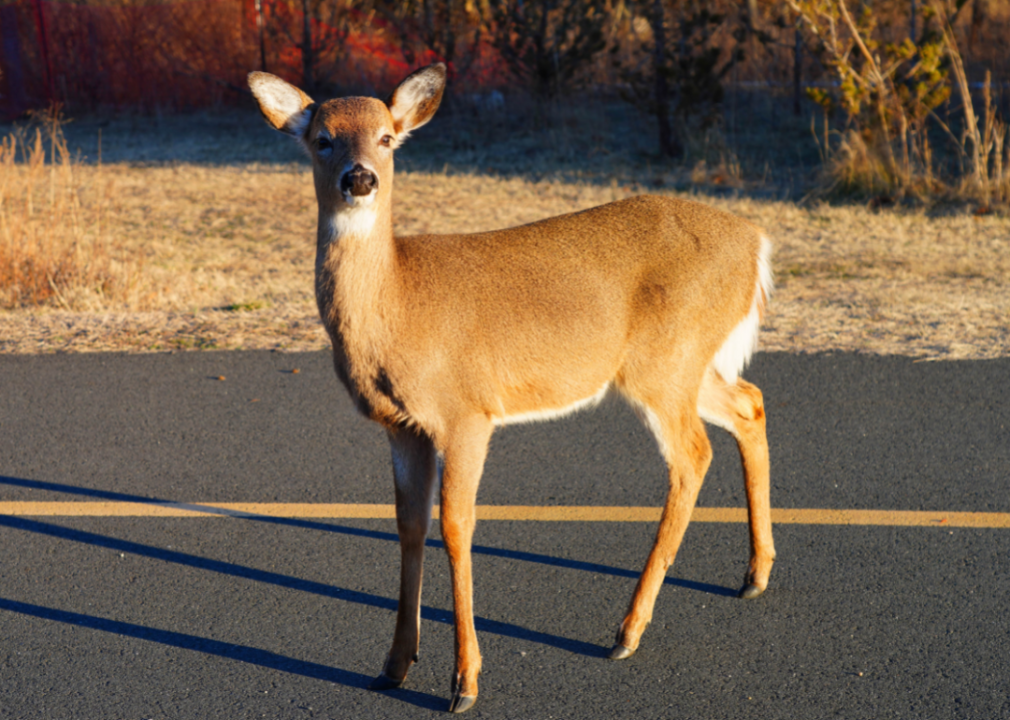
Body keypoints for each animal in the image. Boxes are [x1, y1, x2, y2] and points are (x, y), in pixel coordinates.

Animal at [248, 63, 775, 714]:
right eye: (322, 139)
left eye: (387, 138)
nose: (360, 178)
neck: (397, 305)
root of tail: (757, 244)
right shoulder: (402, 426)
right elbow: (408, 525)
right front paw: (394, 665)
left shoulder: (467, 411)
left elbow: (456, 528)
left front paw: (464, 683)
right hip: (685, 367)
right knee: (750, 404)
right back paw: (754, 577)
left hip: (664, 362)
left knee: (693, 456)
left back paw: (627, 632)